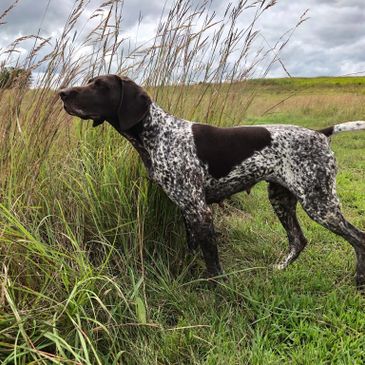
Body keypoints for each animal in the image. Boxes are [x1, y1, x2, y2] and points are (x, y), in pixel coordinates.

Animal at [59, 74, 364, 288]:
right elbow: (194, 247)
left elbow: (213, 263)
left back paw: (359, 282)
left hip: (320, 204)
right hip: (282, 198)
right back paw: (280, 269)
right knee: (298, 240)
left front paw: (218, 290)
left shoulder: (200, 210)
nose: (61, 93)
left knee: (358, 239)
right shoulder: (187, 209)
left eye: (100, 85)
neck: (157, 134)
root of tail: (320, 133)